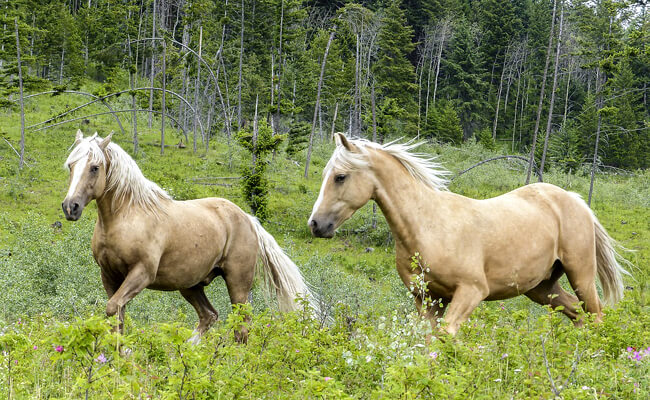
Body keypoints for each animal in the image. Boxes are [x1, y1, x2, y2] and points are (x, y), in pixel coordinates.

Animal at [62, 130, 316, 343]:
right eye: (71, 165)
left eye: (95, 167)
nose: (70, 207)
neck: (127, 216)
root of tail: (248, 219)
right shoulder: (109, 275)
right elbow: (116, 316)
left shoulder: (141, 273)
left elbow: (113, 308)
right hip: (191, 285)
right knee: (209, 316)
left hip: (238, 284)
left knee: (241, 327)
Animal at [308, 133, 630, 336]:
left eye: (340, 177)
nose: (316, 224)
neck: (427, 227)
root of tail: (574, 200)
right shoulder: (427, 299)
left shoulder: (472, 291)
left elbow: (446, 337)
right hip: (542, 287)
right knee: (578, 314)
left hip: (581, 274)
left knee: (596, 315)